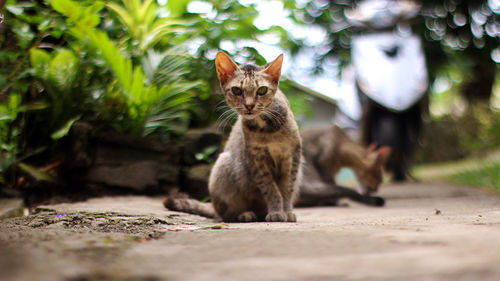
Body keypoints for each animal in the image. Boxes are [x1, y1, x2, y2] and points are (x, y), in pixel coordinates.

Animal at [166, 51, 302, 222]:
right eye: (237, 90)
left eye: (262, 90)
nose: (249, 105)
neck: (268, 131)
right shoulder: (256, 158)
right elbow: (271, 188)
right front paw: (276, 211)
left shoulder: (292, 154)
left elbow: (287, 189)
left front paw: (287, 211)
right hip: (223, 165)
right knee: (224, 213)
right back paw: (245, 214)